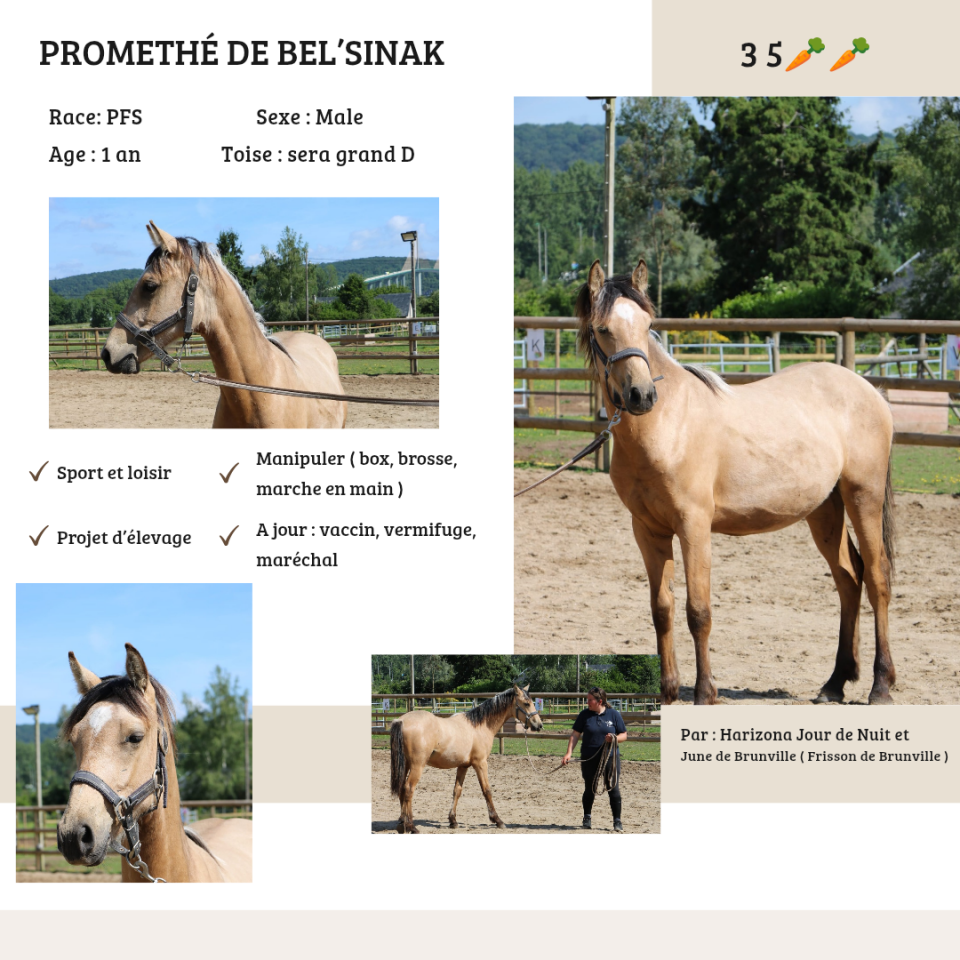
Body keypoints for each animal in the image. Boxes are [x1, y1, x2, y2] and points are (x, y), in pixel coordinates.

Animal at [389, 684, 543, 833]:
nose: (539, 724)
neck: (480, 726)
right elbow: (487, 790)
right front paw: (497, 820)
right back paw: (411, 826)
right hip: (417, 765)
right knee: (409, 789)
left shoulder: (463, 766)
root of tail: (401, 720)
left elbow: (457, 791)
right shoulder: (480, 764)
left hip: (406, 764)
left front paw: (453, 821)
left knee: (402, 789)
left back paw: (401, 824)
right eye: (526, 703)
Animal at [573, 258, 897, 706]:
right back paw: (834, 683)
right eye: (603, 328)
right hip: (824, 511)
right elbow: (662, 609)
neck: (668, 426)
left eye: (647, 324)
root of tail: (870, 390)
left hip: (862, 495)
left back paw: (880, 685)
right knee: (850, 580)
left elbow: (698, 611)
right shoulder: (648, 530)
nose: (642, 395)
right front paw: (668, 692)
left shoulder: (694, 526)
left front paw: (705, 692)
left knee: (878, 578)